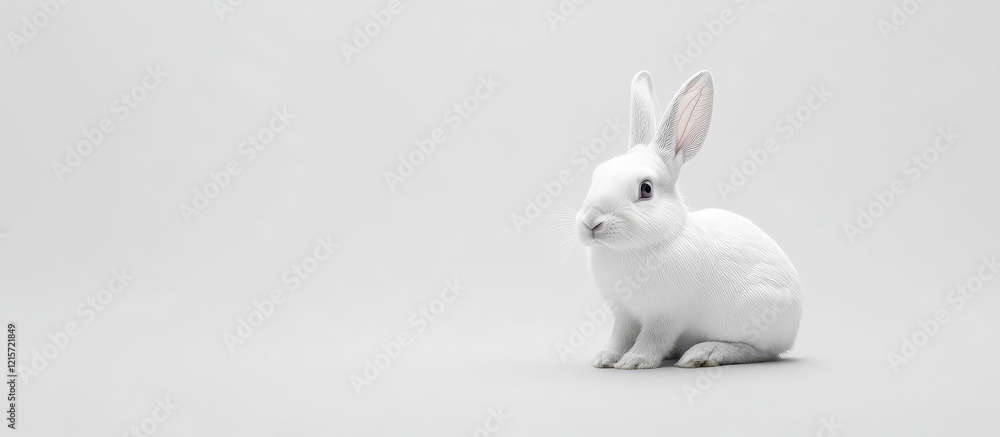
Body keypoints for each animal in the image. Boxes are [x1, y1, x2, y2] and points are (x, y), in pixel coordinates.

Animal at [576, 70, 802, 369]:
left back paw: (703, 354)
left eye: (645, 189)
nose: (591, 222)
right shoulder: (624, 314)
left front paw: (635, 360)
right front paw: (605, 358)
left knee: (760, 352)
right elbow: (619, 337)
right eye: (597, 175)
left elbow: (653, 339)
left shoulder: (666, 315)